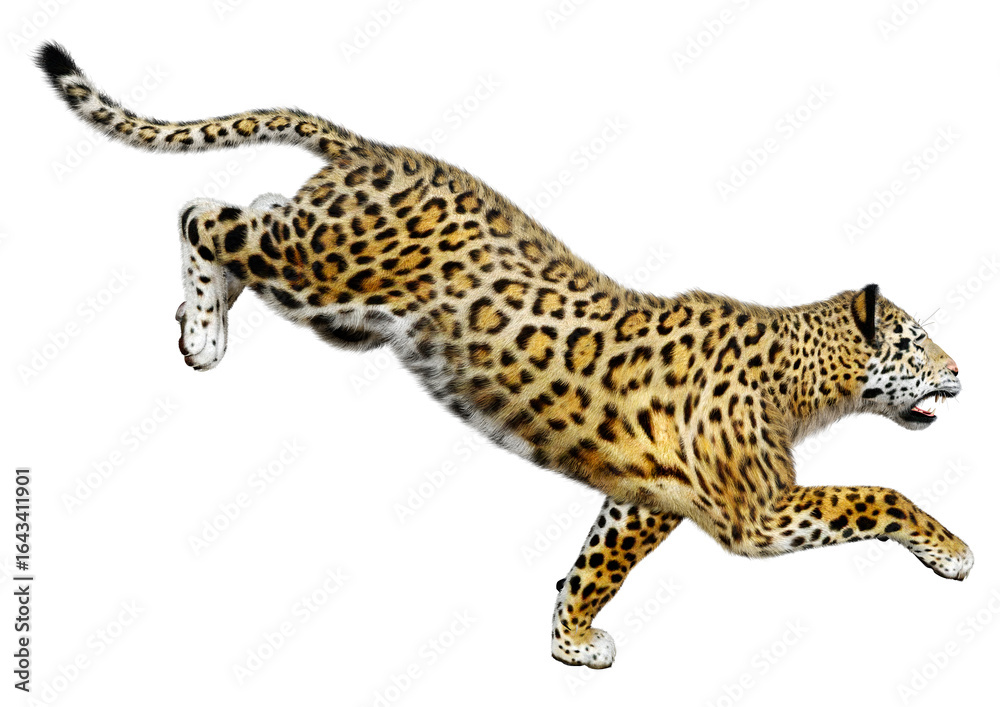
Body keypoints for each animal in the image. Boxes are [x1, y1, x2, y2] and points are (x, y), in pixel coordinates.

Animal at [38, 43, 972, 669]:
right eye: (919, 342)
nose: (961, 371)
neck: (809, 376)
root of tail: (373, 149)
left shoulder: (646, 499)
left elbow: (596, 562)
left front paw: (570, 638)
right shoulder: (756, 513)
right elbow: (880, 495)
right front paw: (956, 552)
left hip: (331, 294)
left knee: (259, 205)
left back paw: (202, 316)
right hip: (323, 267)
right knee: (204, 211)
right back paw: (202, 334)